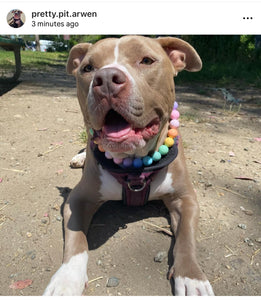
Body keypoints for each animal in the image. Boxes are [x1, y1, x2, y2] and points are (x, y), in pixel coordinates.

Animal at [42, 35, 213, 296]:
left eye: (146, 60)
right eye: (88, 68)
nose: (105, 80)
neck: (134, 164)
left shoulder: (185, 198)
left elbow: (186, 237)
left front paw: (192, 278)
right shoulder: (77, 199)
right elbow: (76, 240)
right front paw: (65, 281)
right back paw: (80, 157)